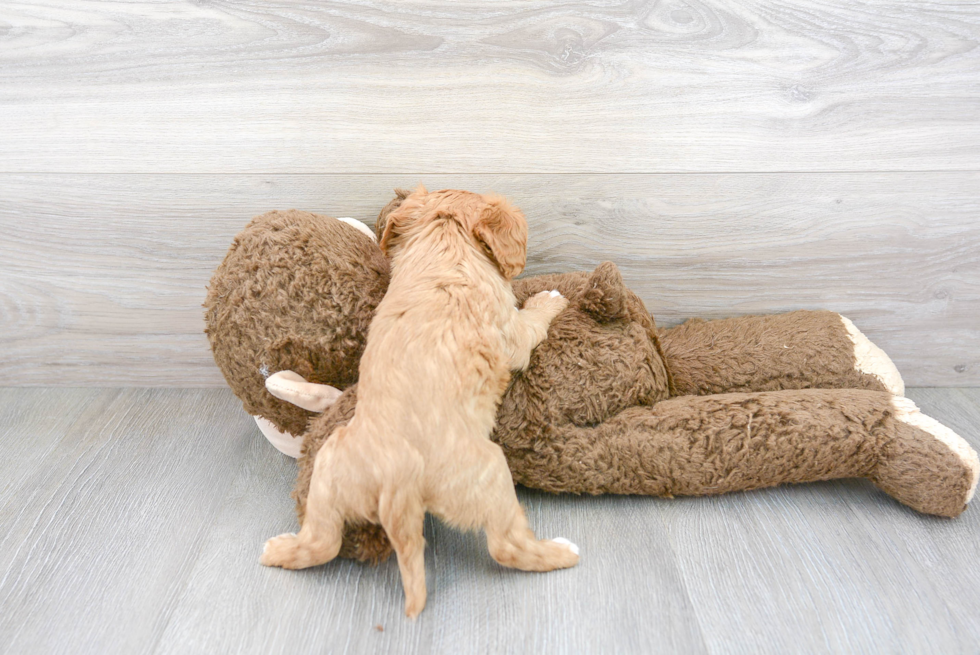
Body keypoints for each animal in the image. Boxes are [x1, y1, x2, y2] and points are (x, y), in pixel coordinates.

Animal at [262, 187, 580, 616]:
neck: (444, 245)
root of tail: (397, 479)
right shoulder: (511, 333)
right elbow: (531, 322)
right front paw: (549, 300)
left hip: (329, 468)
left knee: (321, 542)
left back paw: (276, 549)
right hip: (489, 472)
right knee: (507, 547)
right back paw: (562, 552)